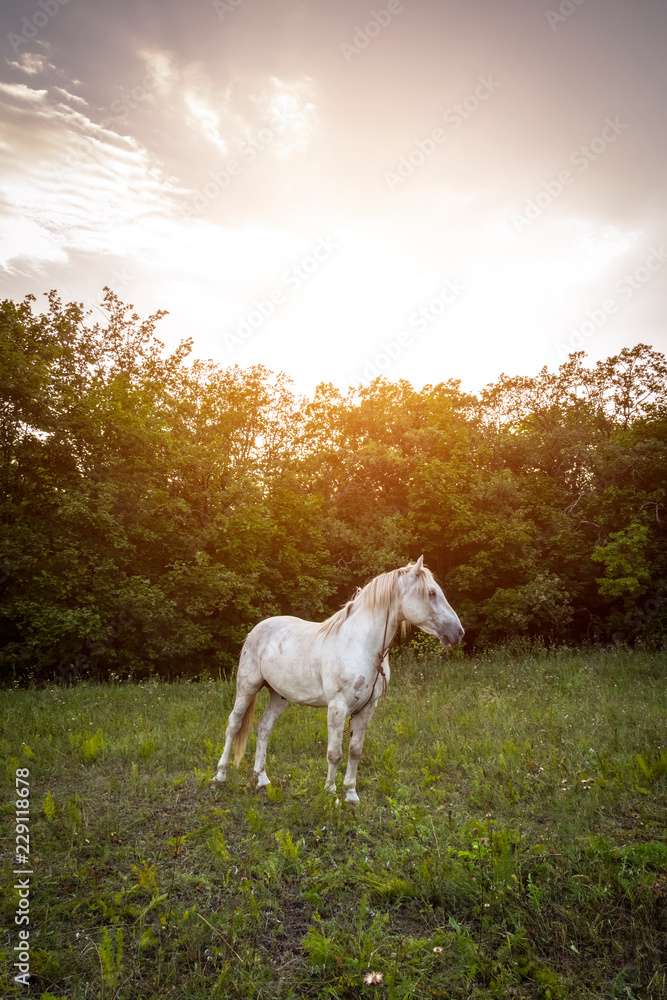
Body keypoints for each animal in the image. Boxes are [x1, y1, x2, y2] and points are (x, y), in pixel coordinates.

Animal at [210, 556, 464, 804]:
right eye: (431, 593)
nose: (458, 633)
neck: (360, 645)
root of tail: (257, 629)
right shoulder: (337, 707)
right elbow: (334, 753)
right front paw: (331, 793)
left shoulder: (367, 708)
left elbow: (355, 751)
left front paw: (351, 794)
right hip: (247, 687)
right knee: (233, 725)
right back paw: (220, 775)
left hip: (278, 695)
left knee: (264, 728)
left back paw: (262, 780)